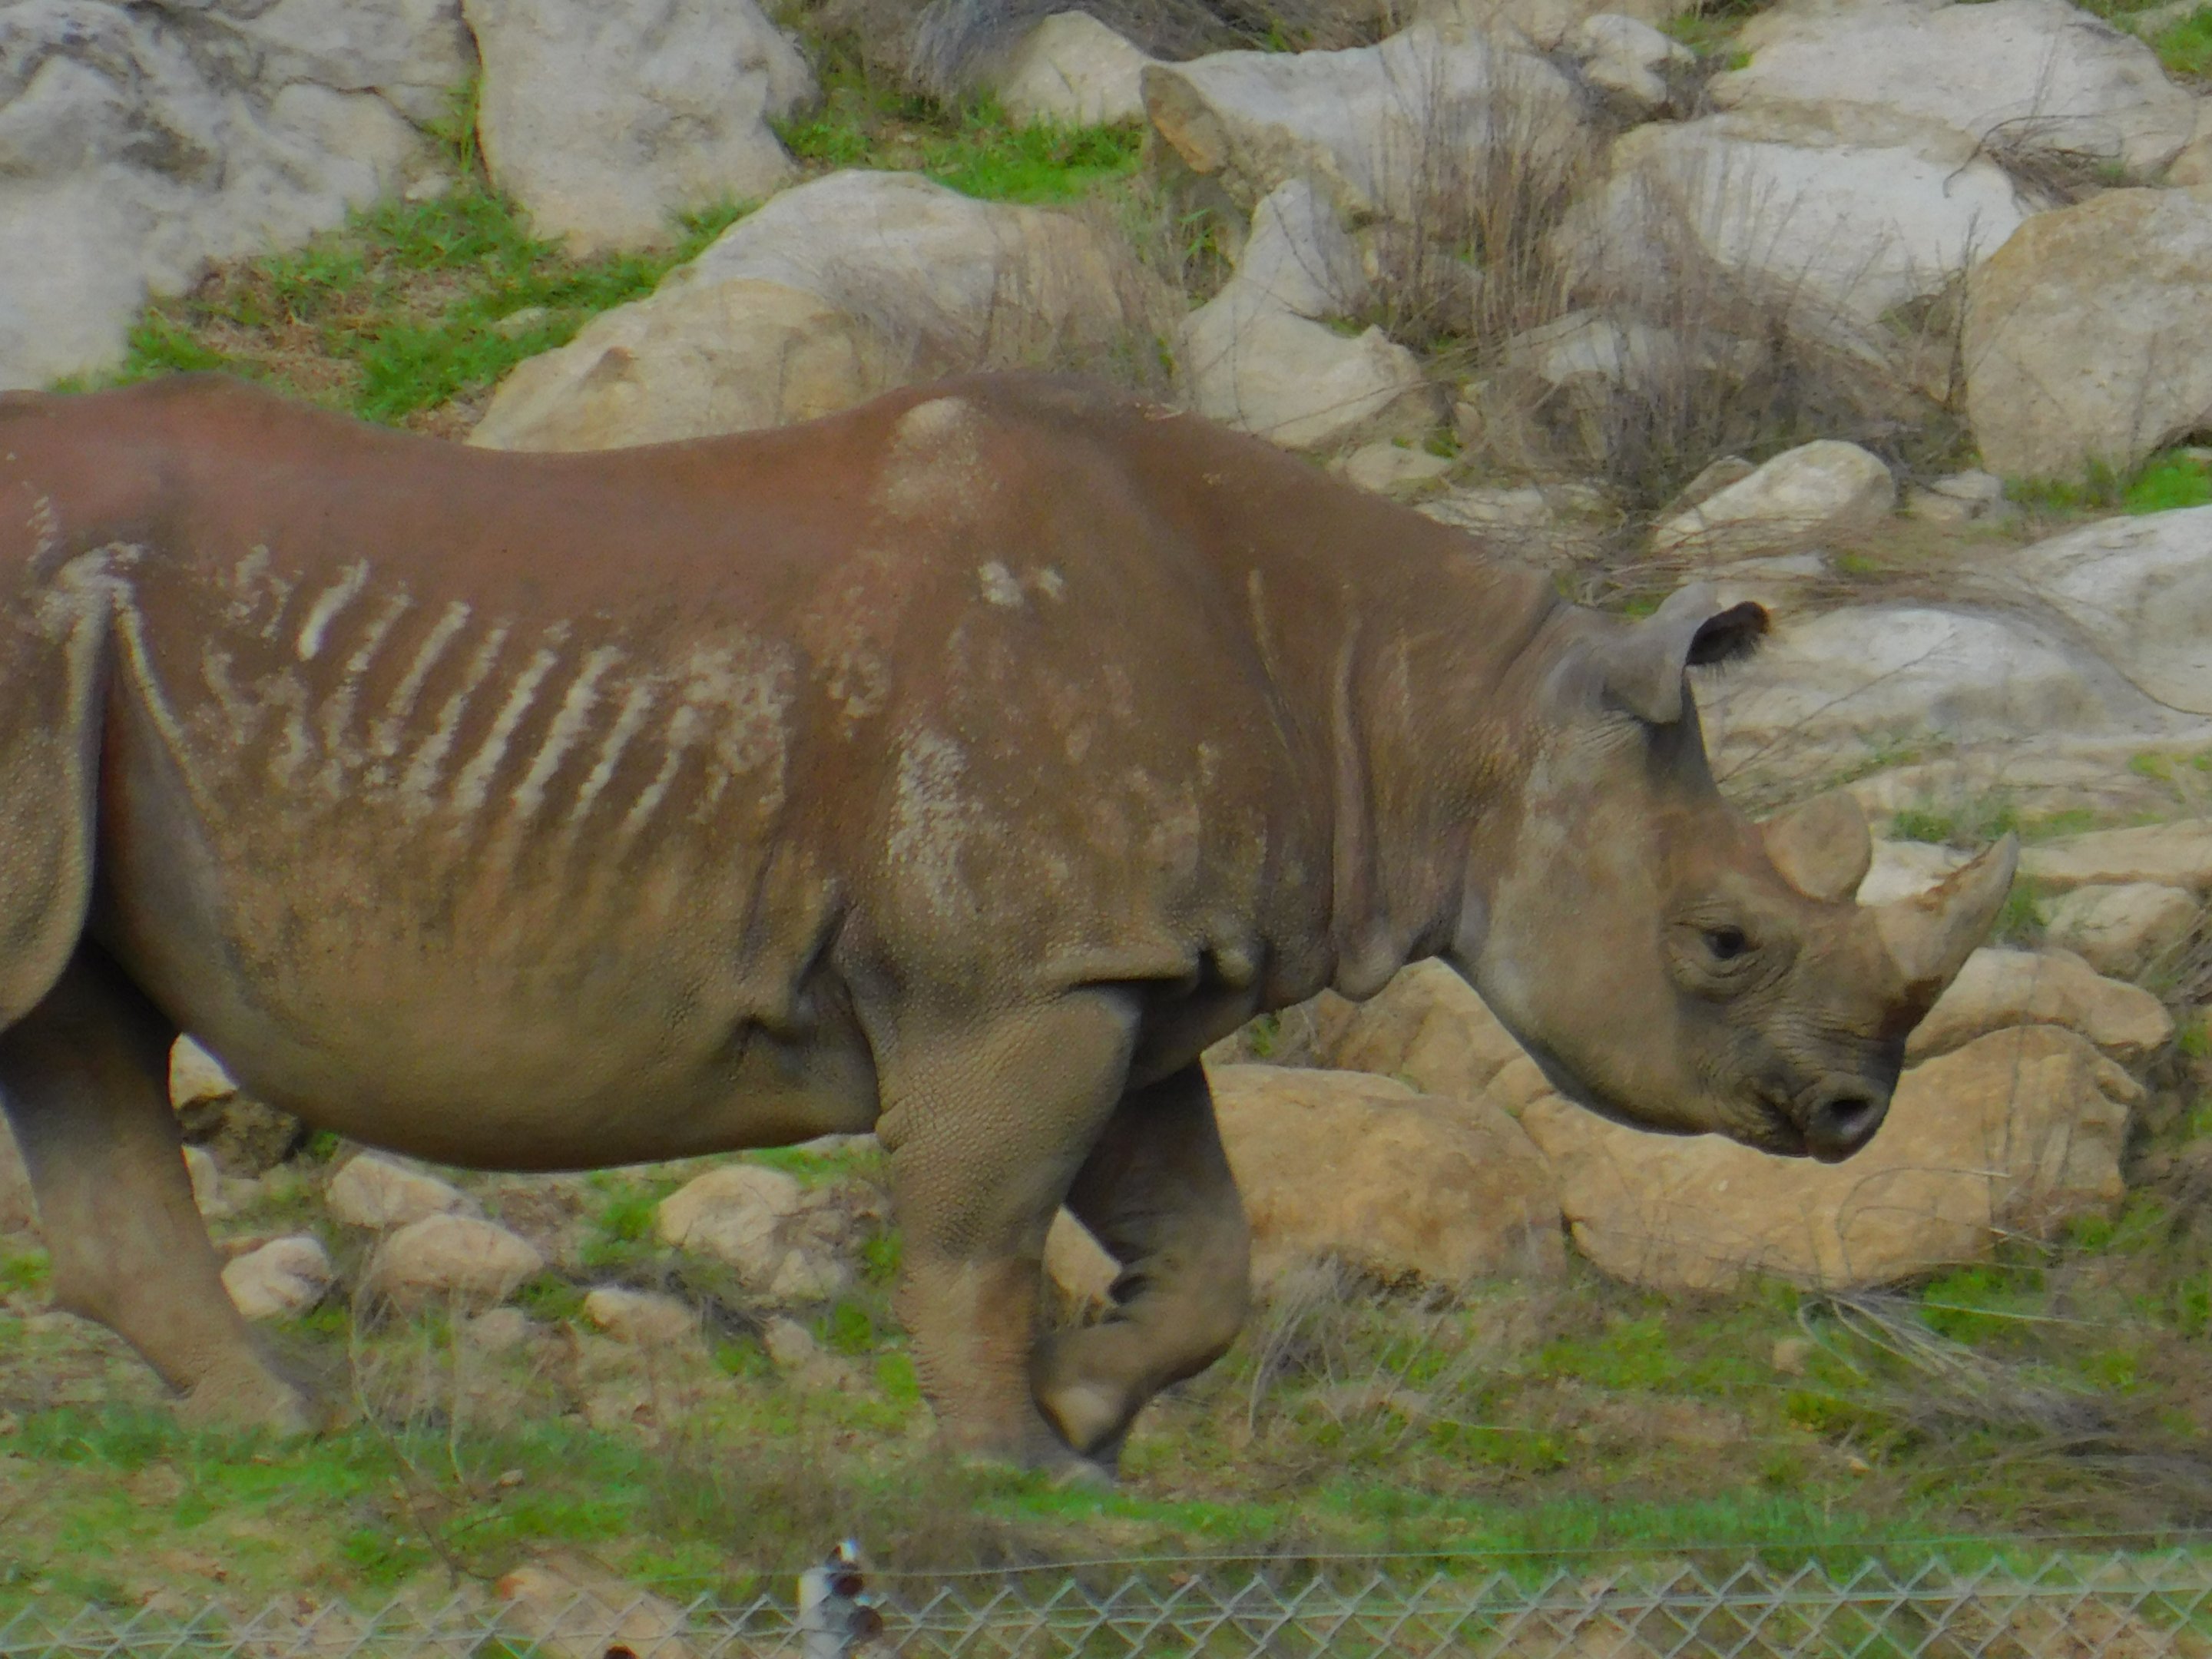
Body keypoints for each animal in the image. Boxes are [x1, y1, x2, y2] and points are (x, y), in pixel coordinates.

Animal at [0, 372, 2011, 1474]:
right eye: (1722, 942)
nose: (1855, 1115)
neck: (1443, 720)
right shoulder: (1015, 976)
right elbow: (971, 1232)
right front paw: (1012, 1468)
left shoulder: (1128, 969)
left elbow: (1201, 1255)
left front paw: (1089, 1419)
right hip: (42, 636)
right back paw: (277, 1420)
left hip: (84, 694)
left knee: (78, 1025)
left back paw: (274, 1420)